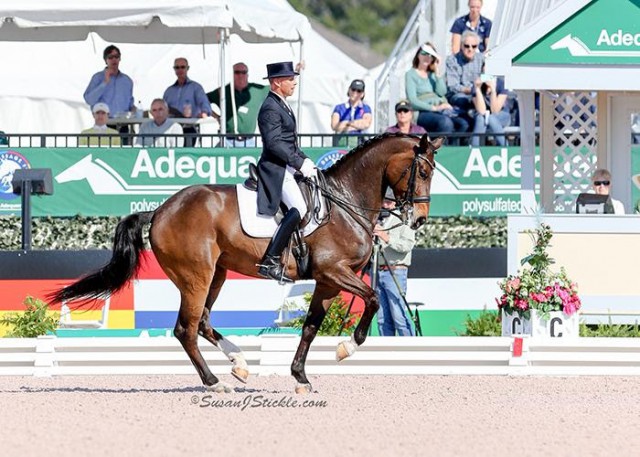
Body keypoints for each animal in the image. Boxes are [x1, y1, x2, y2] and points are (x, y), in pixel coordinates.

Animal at [50, 132, 442, 392]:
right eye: (423, 173)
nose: (420, 219)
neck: (345, 202)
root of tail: (160, 210)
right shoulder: (334, 271)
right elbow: (374, 298)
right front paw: (348, 346)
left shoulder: (327, 280)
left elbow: (311, 326)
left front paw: (300, 376)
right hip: (196, 276)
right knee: (186, 328)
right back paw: (214, 382)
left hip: (217, 274)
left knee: (203, 323)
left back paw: (238, 363)